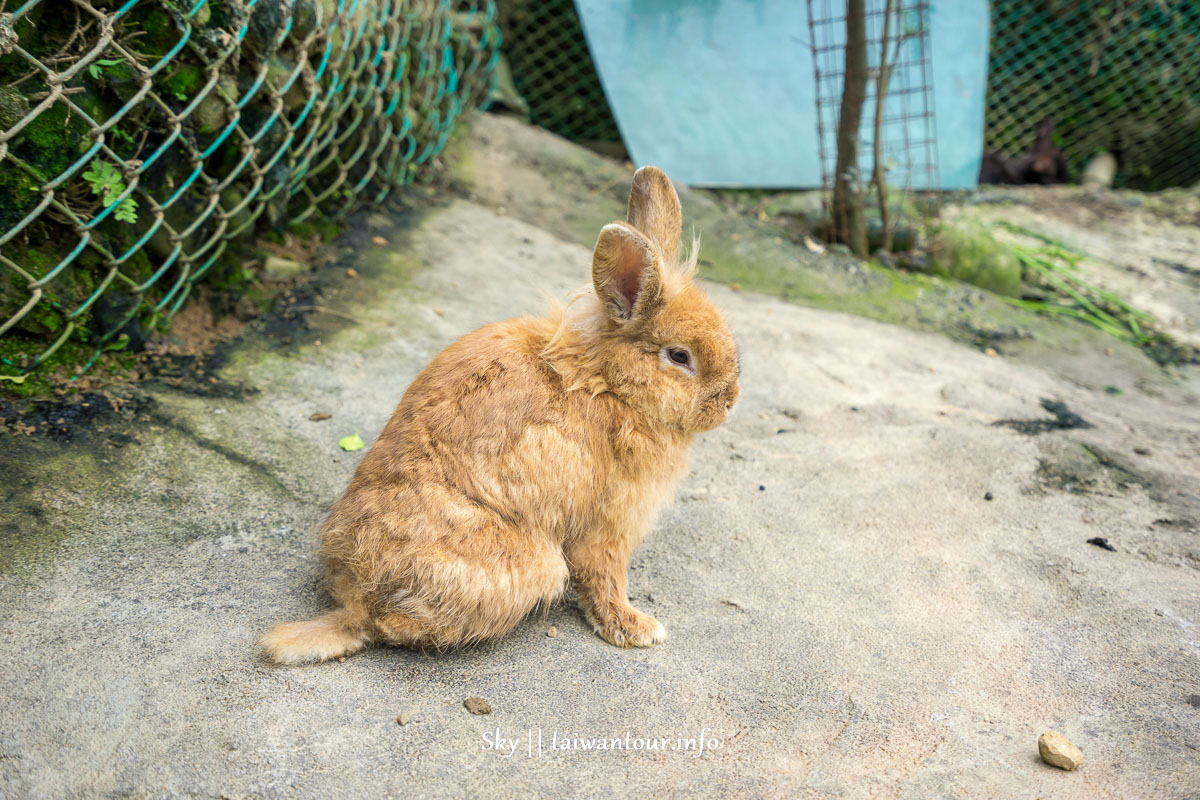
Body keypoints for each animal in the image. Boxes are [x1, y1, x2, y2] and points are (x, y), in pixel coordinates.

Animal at [258, 165, 734, 666]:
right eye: (679, 356)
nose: (729, 402)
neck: (609, 381)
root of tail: (355, 604)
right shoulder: (609, 522)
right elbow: (604, 576)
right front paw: (636, 628)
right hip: (536, 565)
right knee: (390, 625)